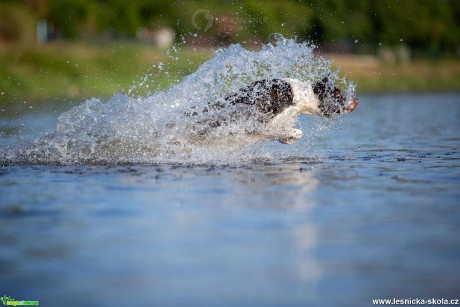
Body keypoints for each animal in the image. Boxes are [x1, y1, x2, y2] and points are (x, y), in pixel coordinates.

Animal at [185, 77, 358, 144]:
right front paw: (288, 136)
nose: (356, 101)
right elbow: (297, 132)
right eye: (338, 94)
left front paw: (286, 138)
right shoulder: (259, 124)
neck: (302, 96)